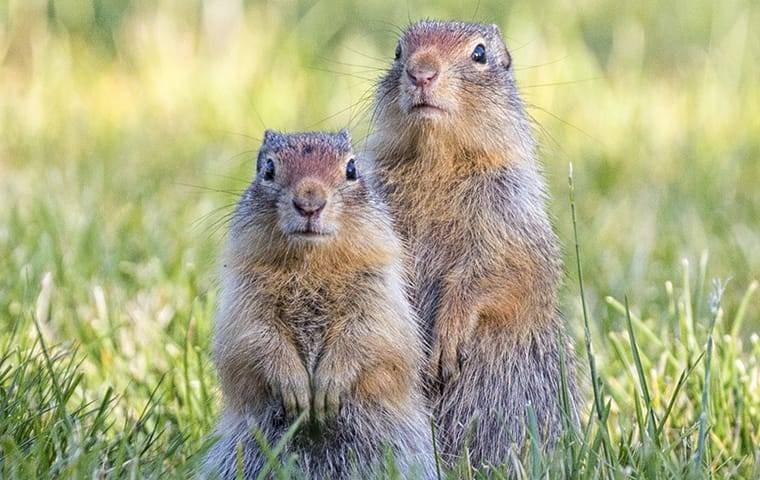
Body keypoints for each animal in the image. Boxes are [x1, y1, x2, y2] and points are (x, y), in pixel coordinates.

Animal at [205, 129, 436, 478]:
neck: (311, 263)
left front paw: (328, 388)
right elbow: (256, 338)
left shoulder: (377, 291)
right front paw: (296, 390)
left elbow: (367, 335)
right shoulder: (245, 296)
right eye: (267, 169)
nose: (309, 203)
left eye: (352, 169)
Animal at [366, 20, 576, 466]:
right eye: (398, 52)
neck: (438, 160)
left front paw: (447, 340)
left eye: (479, 54)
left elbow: (500, 272)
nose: (421, 72)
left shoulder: (509, 211)